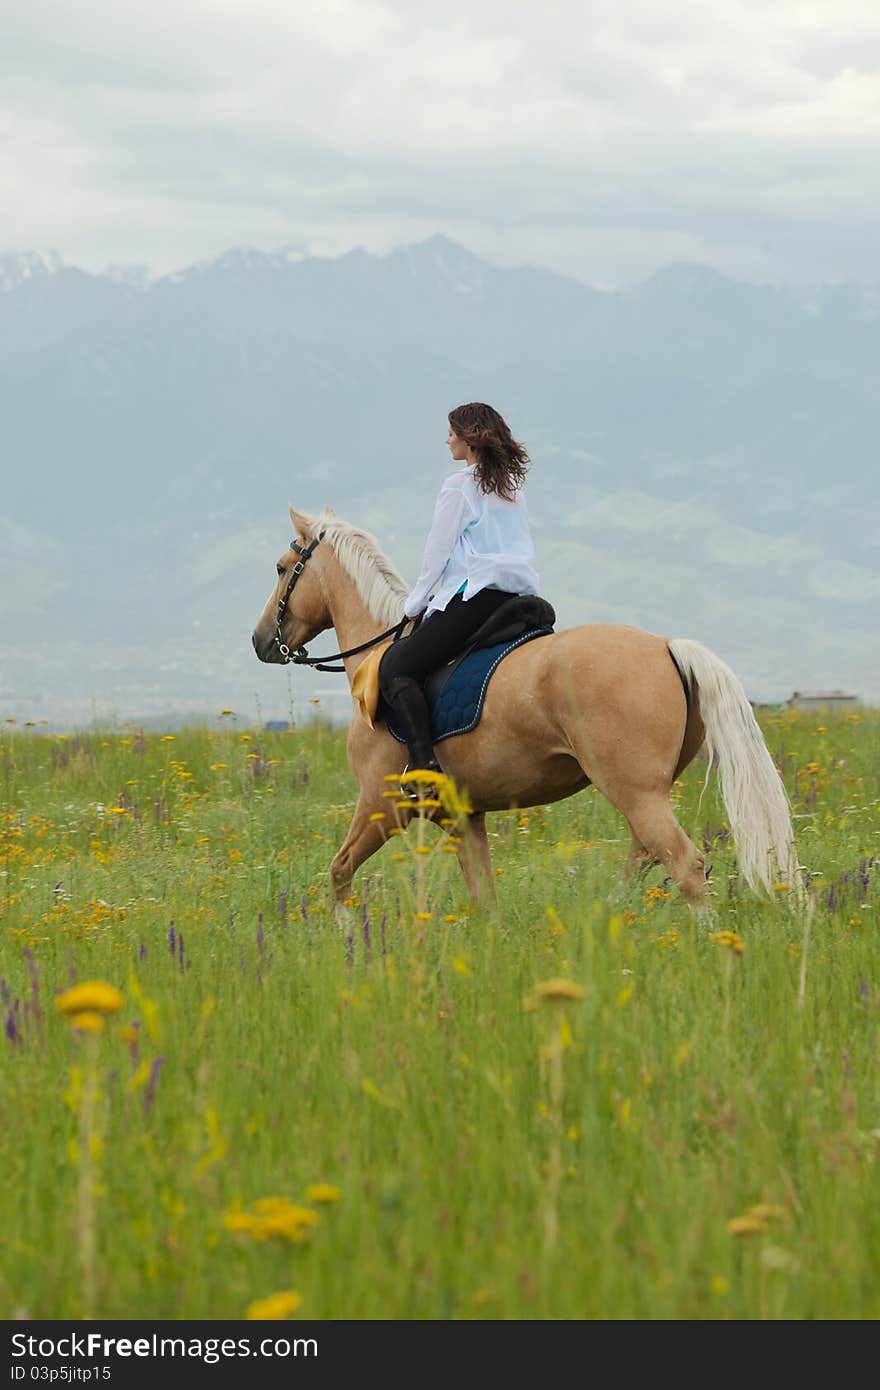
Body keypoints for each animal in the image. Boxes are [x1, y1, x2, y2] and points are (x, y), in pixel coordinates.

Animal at [251, 505, 795, 906]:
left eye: (280, 568)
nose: (260, 642)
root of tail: (666, 645)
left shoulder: (380, 805)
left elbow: (339, 872)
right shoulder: (464, 817)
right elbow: (483, 898)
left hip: (635, 790)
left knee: (684, 864)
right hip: (647, 793)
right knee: (645, 857)